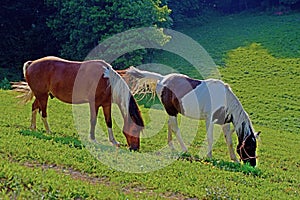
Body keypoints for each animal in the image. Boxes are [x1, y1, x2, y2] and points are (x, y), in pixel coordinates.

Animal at [13, 56, 145, 150]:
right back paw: (49, 131)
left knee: (34, 107)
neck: (107, 80)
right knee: (43, 113)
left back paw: (33, 127)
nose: (135, 148)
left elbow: (109, 122)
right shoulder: (94, 104)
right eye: (135, 130)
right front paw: (93, 139)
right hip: (42, 96)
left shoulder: (106, 104)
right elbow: (93, 120)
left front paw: (114, 141)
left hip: (40, 95)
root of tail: (31, 64)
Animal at [124, 66, 260, 166]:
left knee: (170, 125)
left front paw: (234, 160)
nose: (252, 165)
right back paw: (185, 150)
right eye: (249, 146)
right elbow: (210, 138)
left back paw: (172, 148)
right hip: (171, 111)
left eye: (255, 146)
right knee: (175, 128)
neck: (224, 99)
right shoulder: (209, 120)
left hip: (172, 112)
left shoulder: (225, 123)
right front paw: (209, 157)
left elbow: (229, 141)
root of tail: (162, 79)